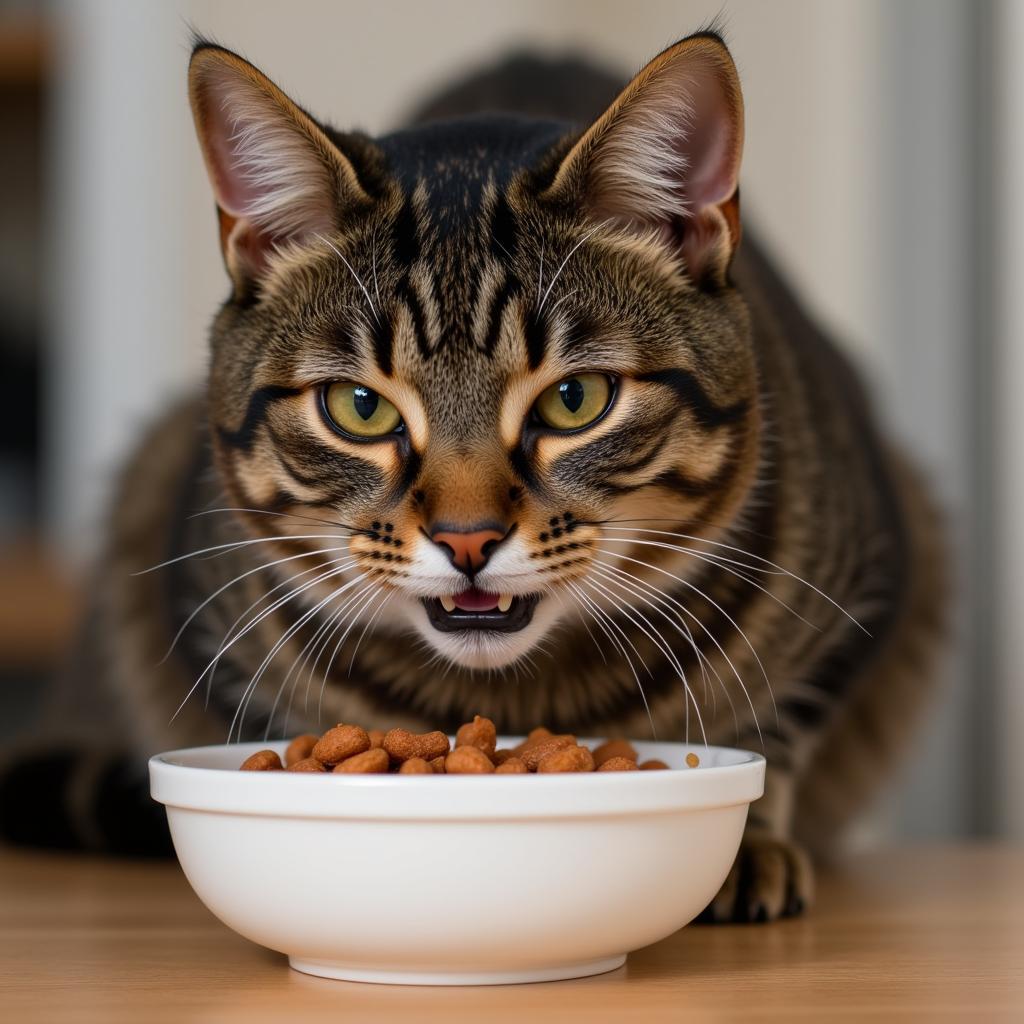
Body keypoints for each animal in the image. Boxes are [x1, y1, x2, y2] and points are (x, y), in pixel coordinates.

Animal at [2, 28, 942, 925]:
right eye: (358, 407)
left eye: (575, 399)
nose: (467, 540)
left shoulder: (873, 579)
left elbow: (775, 722)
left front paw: (747, 845)